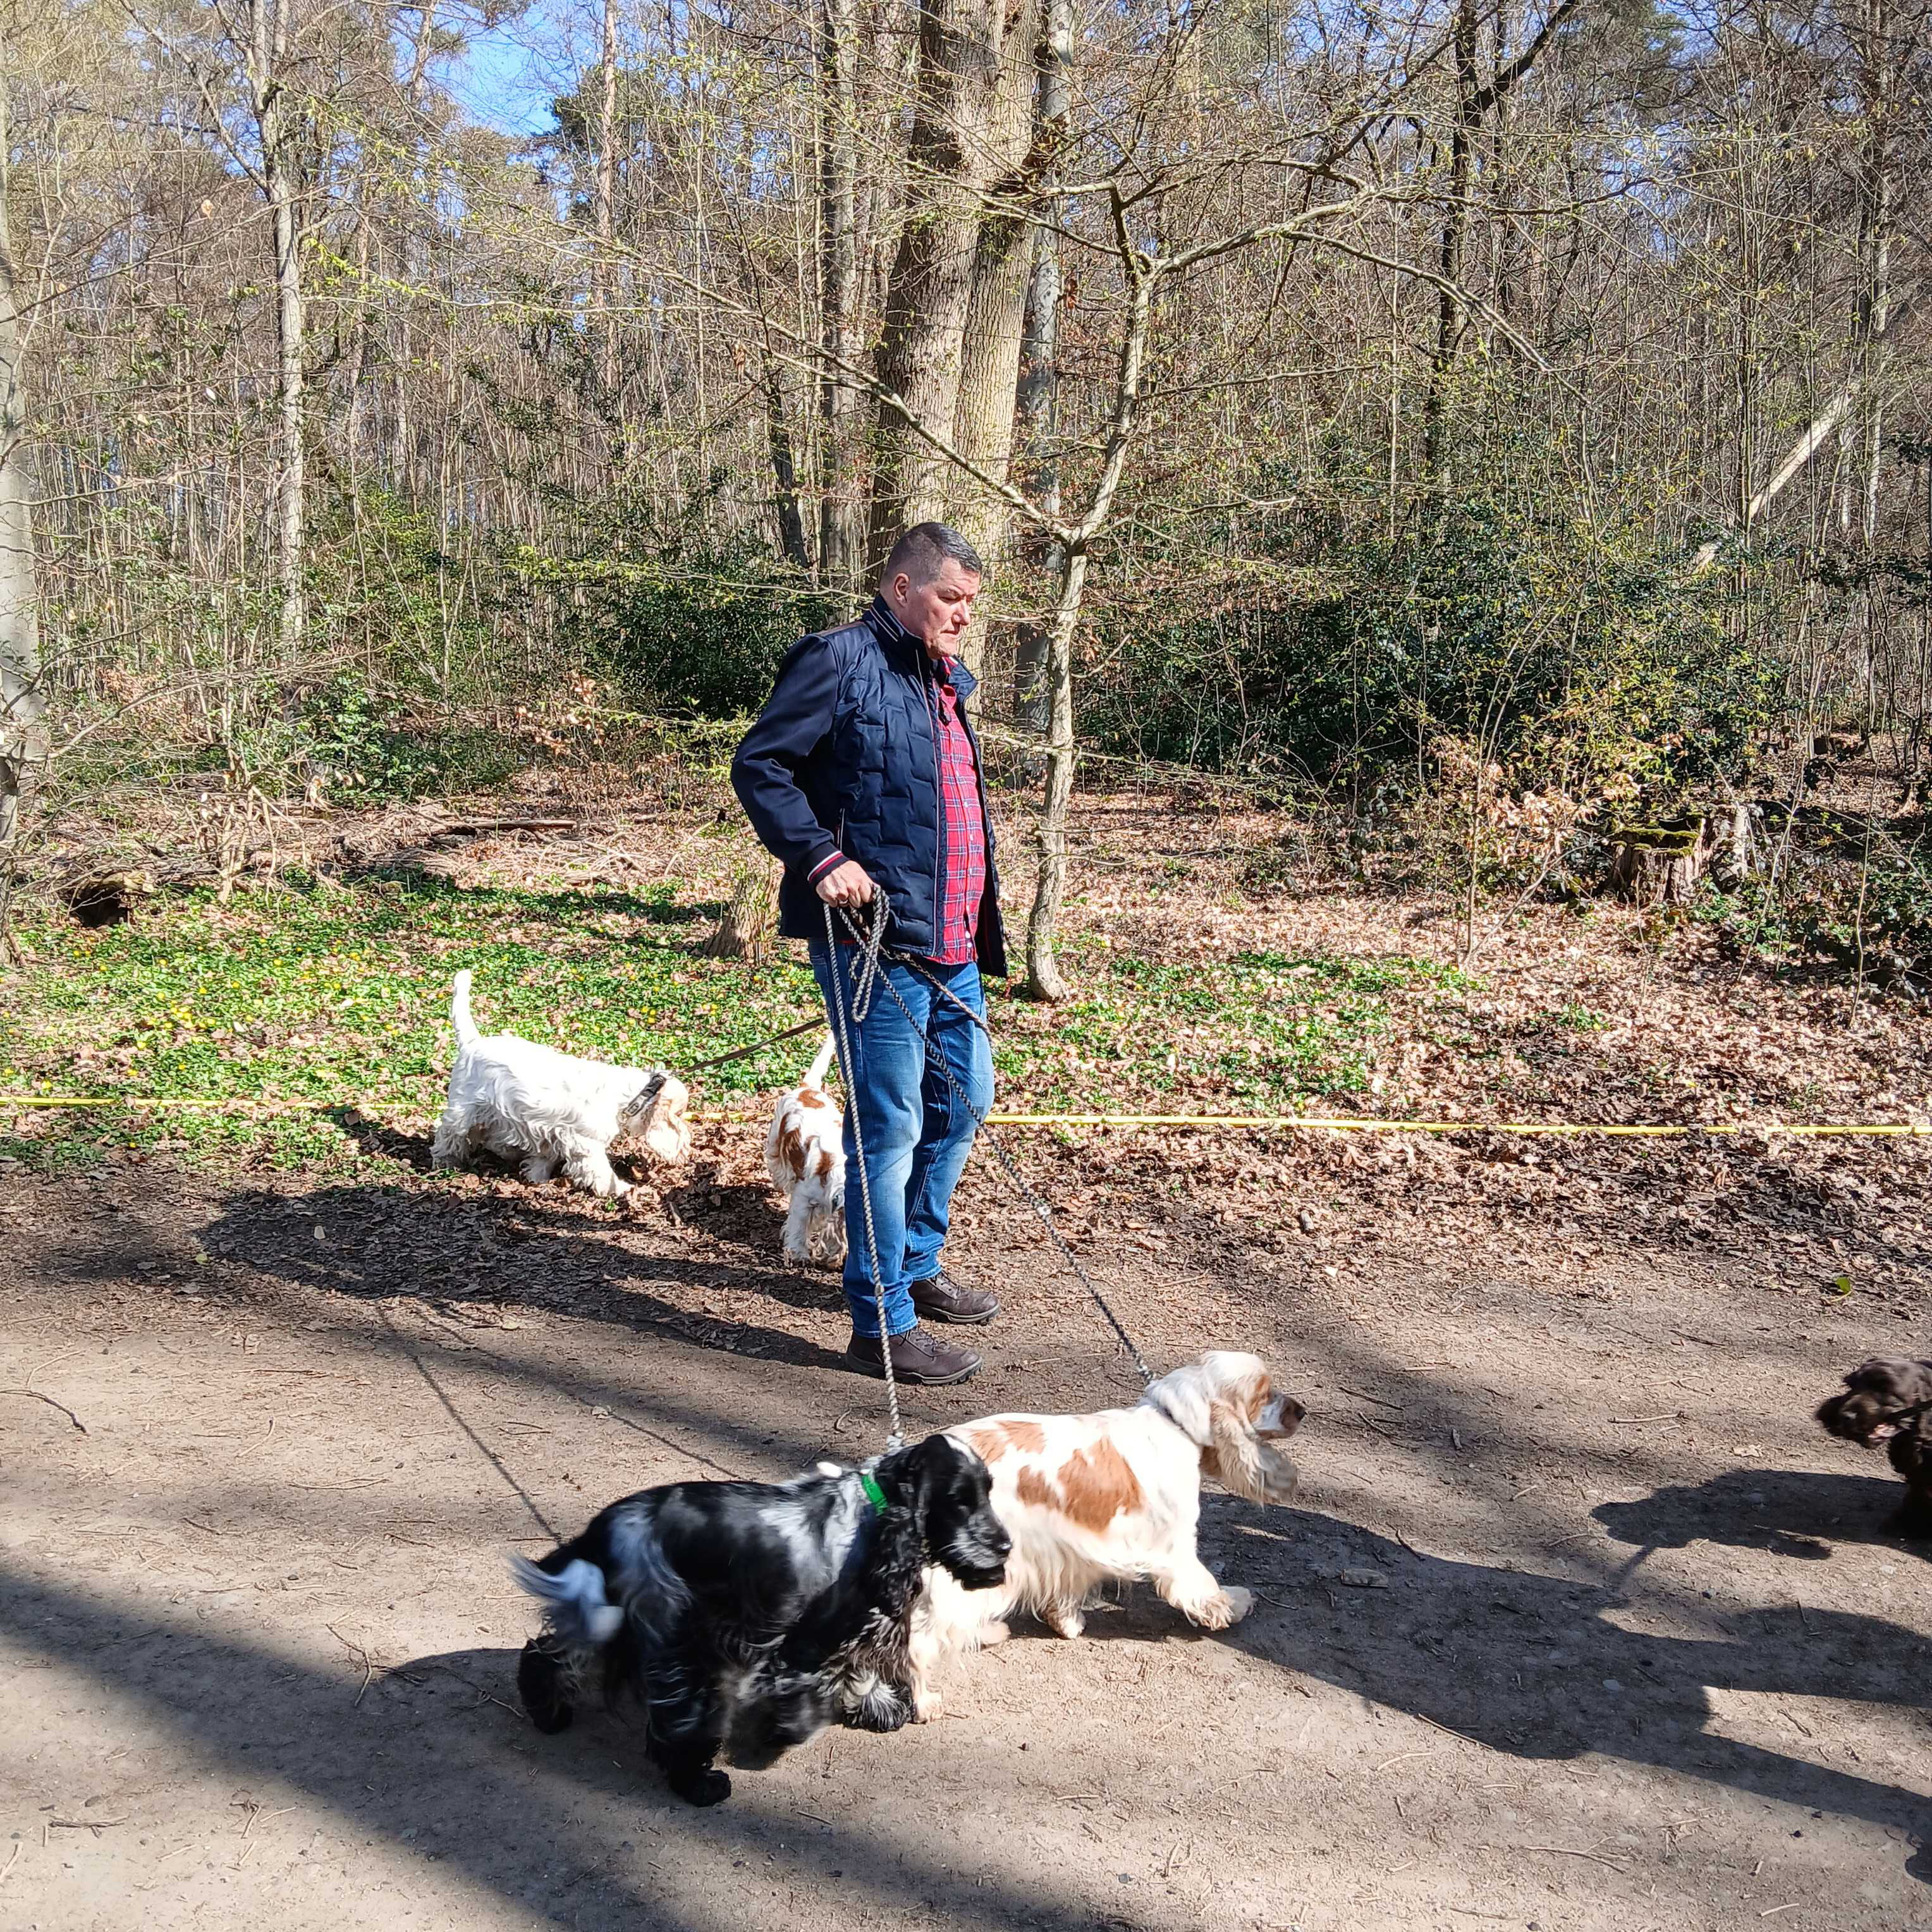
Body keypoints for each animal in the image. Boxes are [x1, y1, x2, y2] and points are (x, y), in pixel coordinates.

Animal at [429, 970, 690, 1196]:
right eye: (679, 1113)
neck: (626, 1097)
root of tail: (473, 1042)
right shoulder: (585, 1143)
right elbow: (601, 1171)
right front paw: (621, 1189)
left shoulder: (551, 1130)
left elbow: (545, 1156)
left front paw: (536, 1176)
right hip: (463, 1110)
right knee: (447, 1135)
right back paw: (444, 1162)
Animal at [511, 1433, 1009, 1805]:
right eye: (959, 1501)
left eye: (989, 1492)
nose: (1006, 1546)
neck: (876, 1516)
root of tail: (604, 1528)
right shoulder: (807, 1636)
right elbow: (810, 1684)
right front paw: (787, 1730)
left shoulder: (858, 1623)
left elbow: (860, 1672)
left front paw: (881, 1708)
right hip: (676, 1636)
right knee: (679, 1715)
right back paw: (699, 1783)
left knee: (548, 1653)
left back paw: (547, 1712)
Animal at [907, 1350, 1304, 1718]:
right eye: (1264, 1393)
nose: (1301, 1411)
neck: (1176, 1423)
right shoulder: (1177, 1547)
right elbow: (1203, 1588)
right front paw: (1233, 1605)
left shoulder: (1069, 1547)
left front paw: (1067, 1623)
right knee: (919, 1640)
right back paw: (924, 1701)